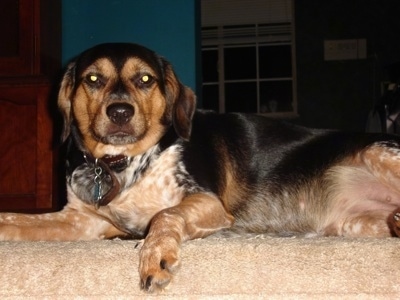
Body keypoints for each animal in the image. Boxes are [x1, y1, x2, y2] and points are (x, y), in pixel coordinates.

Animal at [0, 43, 400, 292]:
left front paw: (156, 256)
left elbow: (165, 216)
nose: (120, 112)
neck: (124, 164)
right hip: (353, 224)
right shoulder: (81, 221)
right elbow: (16, 219)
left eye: (145, 79)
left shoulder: (206, 202)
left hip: (378, 152)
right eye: (93, 80)